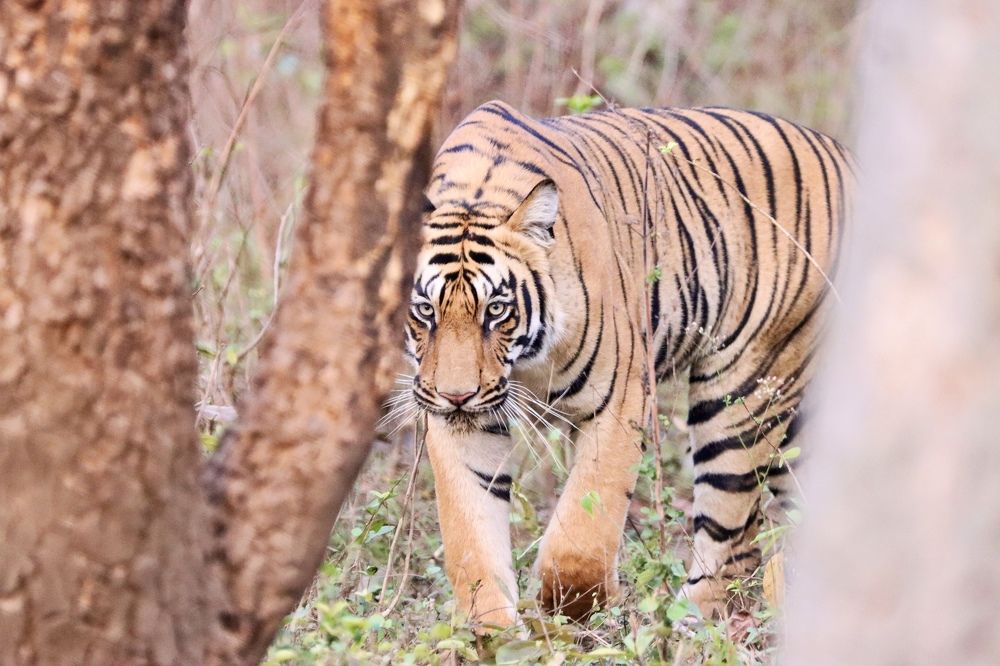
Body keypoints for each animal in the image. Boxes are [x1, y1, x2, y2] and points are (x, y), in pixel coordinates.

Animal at [397, 99, 851, 627]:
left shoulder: (619, 400)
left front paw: (574, 608)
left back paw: (692, 623)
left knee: (727, 529)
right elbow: (470, 537)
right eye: (425, 310)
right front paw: (493, 630)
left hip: (745, 391)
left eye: (496, 310)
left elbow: (581, 536)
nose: (457, 395)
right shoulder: (464, 419)